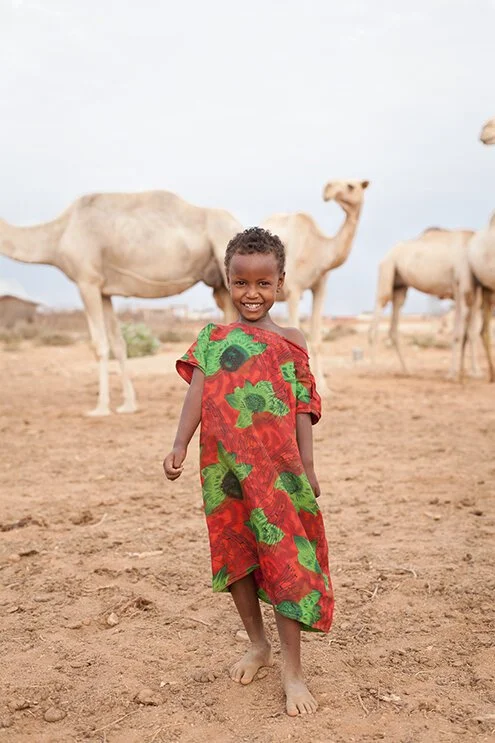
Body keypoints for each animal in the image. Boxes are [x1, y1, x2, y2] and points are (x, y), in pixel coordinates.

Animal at [0, 190, 241, 415]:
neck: (58, 235)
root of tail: (235, 222)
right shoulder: (104, 291)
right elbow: (118, 343)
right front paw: (128, 404)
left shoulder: (87, 281)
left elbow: (99, 344)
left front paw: (100, 408)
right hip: (219, 282)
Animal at [261, 180, 369, 393]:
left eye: (351, 186)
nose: (328, 189)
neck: (319, 250)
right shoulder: (294, 290)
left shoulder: (320, 287)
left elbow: (317, 340)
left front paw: (325, 388)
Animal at [368, 227, 482, 378]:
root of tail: (387, 255)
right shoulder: (460, 287)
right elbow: (458, 332)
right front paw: (452, 374)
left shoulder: (475, 296)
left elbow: (472, 333)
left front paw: (476, 372)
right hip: (387, 269)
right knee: (380, 304)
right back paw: (373, 369)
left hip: (400, 285)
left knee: (395, 316)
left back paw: (407, 370)